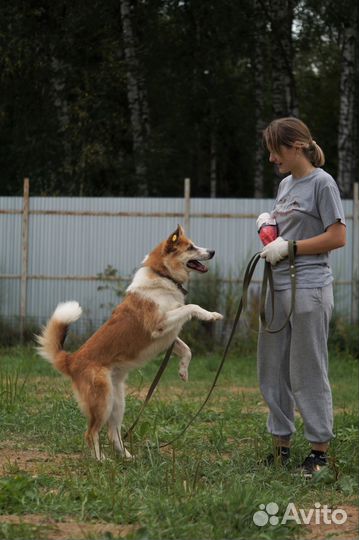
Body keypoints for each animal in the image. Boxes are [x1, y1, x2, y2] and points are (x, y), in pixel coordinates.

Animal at [35, 226, 222, 458]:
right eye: (191, 247)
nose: (213, 251)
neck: (163, 276)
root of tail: (71, 360)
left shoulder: (169, 337)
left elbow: (187, 349)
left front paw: (183, 371)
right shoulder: (160, 325)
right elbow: (192, 307)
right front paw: (210, 315)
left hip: (117, 402)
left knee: (112, 432)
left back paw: (126, 457)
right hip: (103, 401)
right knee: (91, 433)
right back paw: (101, 460)